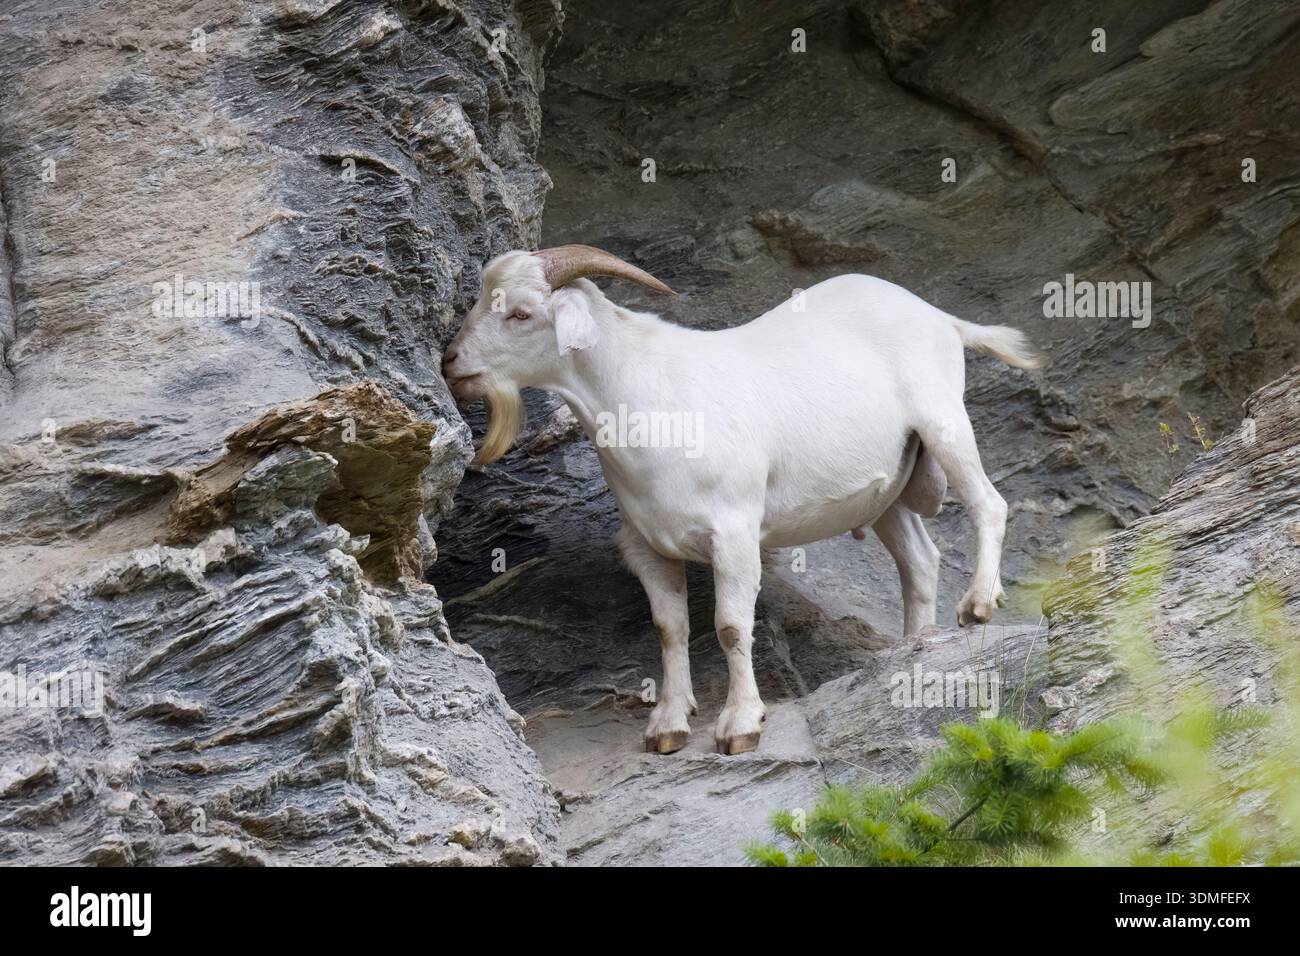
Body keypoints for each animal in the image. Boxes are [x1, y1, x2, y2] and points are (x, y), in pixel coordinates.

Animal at [443, 245, 1043, 755]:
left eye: (521, 314)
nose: (451, 363)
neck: (647, 395)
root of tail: (940, 317)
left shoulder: (733, 533)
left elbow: (731, 626)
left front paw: (740, 726)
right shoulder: (647, 545)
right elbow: (670, 628)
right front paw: (667, 725)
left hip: (944, 422)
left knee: (989, 504)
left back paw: (977, 604)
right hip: (887, 487)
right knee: (919, 559)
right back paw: (915, 643)